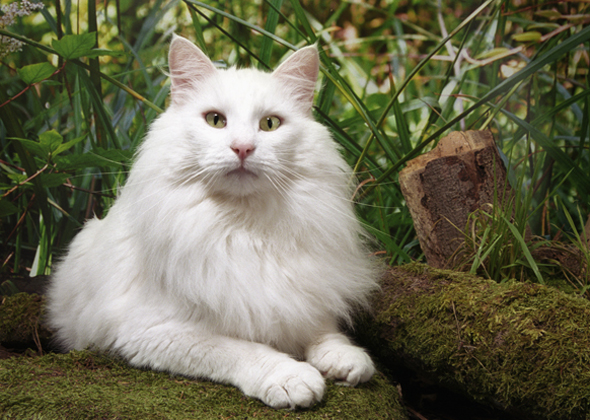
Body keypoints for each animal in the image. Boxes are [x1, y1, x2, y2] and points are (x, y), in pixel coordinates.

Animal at [46, 36, 380, 410]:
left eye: (270, 124)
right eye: (216, 120)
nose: (243, 148)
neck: (244, 227)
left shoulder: (302, 299)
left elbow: (325, 333)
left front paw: (346, 362)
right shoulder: (154, 331)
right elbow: (241, 350)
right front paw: (292, 379)